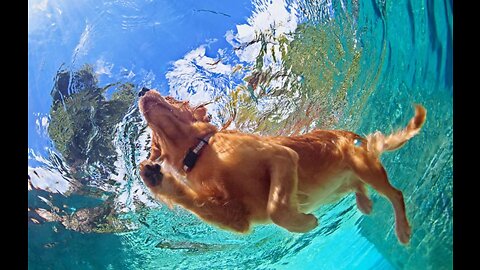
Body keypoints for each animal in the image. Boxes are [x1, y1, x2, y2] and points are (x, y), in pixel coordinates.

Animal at [137, 87, 426, 244]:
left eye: (172, 98)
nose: (142, 90)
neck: (201, 151)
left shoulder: (282, 156)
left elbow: (276, 207)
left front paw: (304, 222)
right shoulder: (238, 218)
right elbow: (199, 202)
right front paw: (154, 177)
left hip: (364, 166)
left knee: (396, 194)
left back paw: (402, 229)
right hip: (346, 182)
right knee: (358, 186)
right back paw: (364, 202)